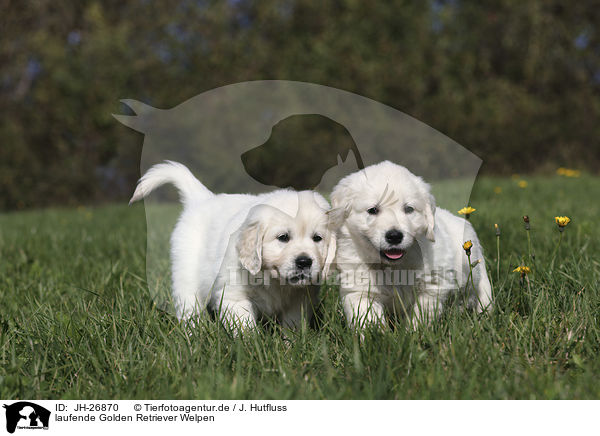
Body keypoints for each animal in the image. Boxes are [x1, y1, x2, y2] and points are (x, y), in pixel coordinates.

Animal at [131, 161, 336, 330]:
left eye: (317, 238)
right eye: (283, 237)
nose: (304, 262)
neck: (273, 280)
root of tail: (202, 199)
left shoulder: (299, 301)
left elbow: (293, 327)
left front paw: (290, 347)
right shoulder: (234, 297)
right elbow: (245, 328)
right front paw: (252, 349)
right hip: (187, 275)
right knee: (189, 307)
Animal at [328, 162, 492, 328]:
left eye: (408, 209)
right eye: (373, 210)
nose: (394, 236)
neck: (393, 267)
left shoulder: (431, 286)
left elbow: (421, 315)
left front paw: (415, 331)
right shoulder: (359, 290)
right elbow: (367, 319)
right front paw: (374, 333)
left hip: (477, 274)